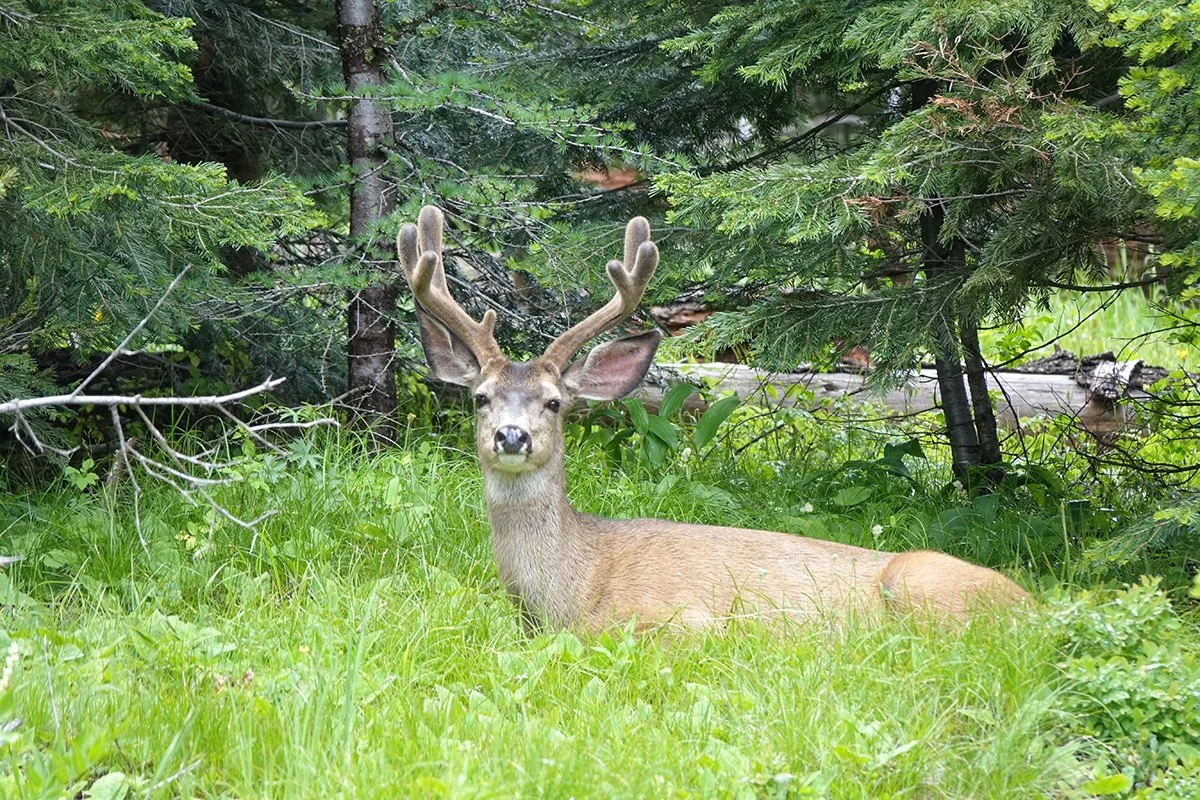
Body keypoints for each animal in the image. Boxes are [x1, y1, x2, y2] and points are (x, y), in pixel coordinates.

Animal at [398, 206, 1029, 633]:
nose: (512, 436)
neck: (571, 590)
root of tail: (1036, 607)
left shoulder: (683, 623)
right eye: (481, 397)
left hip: (922, 584)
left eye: (555, 402)